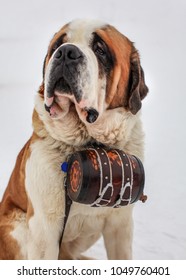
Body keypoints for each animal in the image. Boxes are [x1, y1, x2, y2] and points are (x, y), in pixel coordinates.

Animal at [0, 19, 148, 260]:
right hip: (18, 228)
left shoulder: (121, 225)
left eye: (100, 50)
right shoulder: (44, 230)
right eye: (57, 45)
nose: (66, 52)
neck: (89, 143)